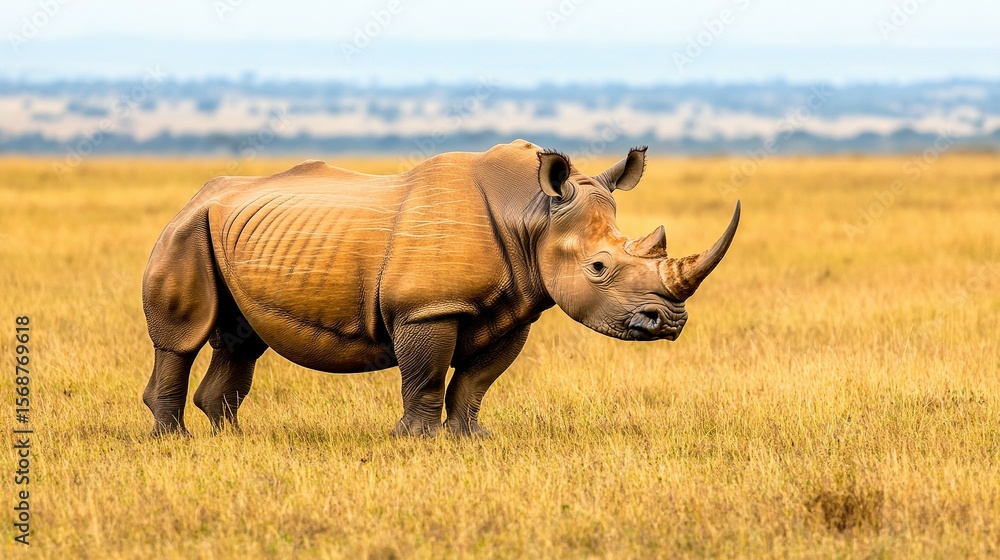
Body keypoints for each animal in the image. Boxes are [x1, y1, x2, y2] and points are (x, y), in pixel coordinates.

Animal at [142, 140, 740, 437]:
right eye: (598, 267)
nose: (670, 323)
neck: (533, 214)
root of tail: (199, 193)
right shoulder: (425, 308)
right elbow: (426, 374)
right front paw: (417, 441)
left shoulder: (515, 308)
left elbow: (476, 381)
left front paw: (471, 439)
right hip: (185, 229)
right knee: (183, 338)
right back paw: (175, 440)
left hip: (227, 232)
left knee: (242, 340)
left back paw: (233, 439)